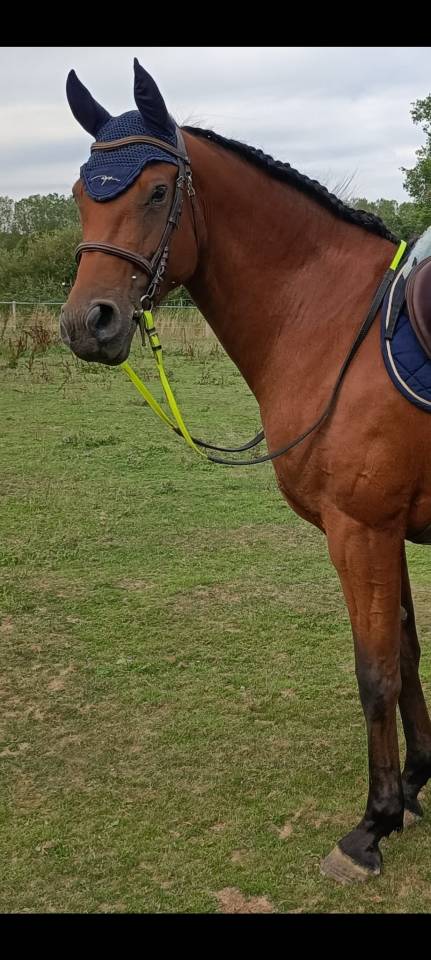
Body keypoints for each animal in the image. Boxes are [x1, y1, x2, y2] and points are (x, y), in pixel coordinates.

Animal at [60, 59, 431, 883]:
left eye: (156, 192)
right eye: (78, 194)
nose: (87, 324)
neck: (335, 325)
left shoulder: (358, 531)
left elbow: (374, 673)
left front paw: (372, 826)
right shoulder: (384, 530)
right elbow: (405, 653)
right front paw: (419, 783)